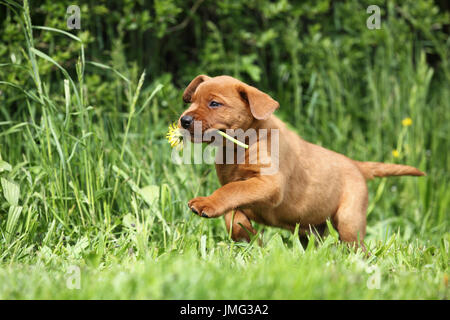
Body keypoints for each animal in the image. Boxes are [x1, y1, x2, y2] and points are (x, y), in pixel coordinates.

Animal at [178, 75, 424, 248]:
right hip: (313, 227)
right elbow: (232, 210)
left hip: (349, 220)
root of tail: (356, 164)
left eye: (214, 103)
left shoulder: (269, 185)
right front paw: (249, 237)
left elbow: (232, 191)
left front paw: (206, 203)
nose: (184, 120)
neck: (238, 147)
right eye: (192, 101)